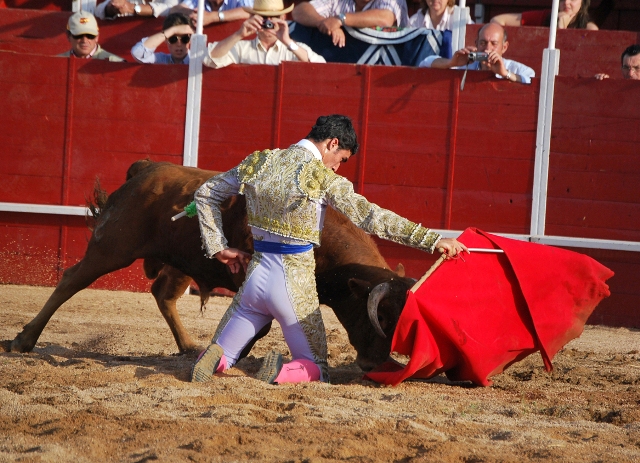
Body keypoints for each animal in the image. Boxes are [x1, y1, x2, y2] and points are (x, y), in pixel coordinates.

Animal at [11, 161, 420, 372]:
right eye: (380, 317)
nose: (379, 364)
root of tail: (145, 170)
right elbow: (259, 322)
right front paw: (230, 353)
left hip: (180, 263)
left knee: (162, 294)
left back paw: (188, 345)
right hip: (112, 248)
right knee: (71, 280)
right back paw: (24, 340)